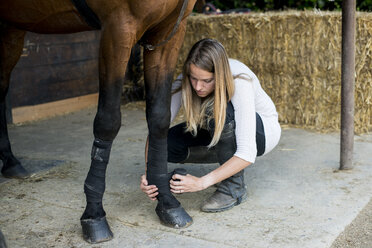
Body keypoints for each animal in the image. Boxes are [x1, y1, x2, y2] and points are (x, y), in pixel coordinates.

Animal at [0, 0, 196, 244]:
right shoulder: (118, 27)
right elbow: (108, 121)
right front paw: (93, 215)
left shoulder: (170, 31)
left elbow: (159, 117)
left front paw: (167, 202)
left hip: (11, 31)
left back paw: (10, 161)